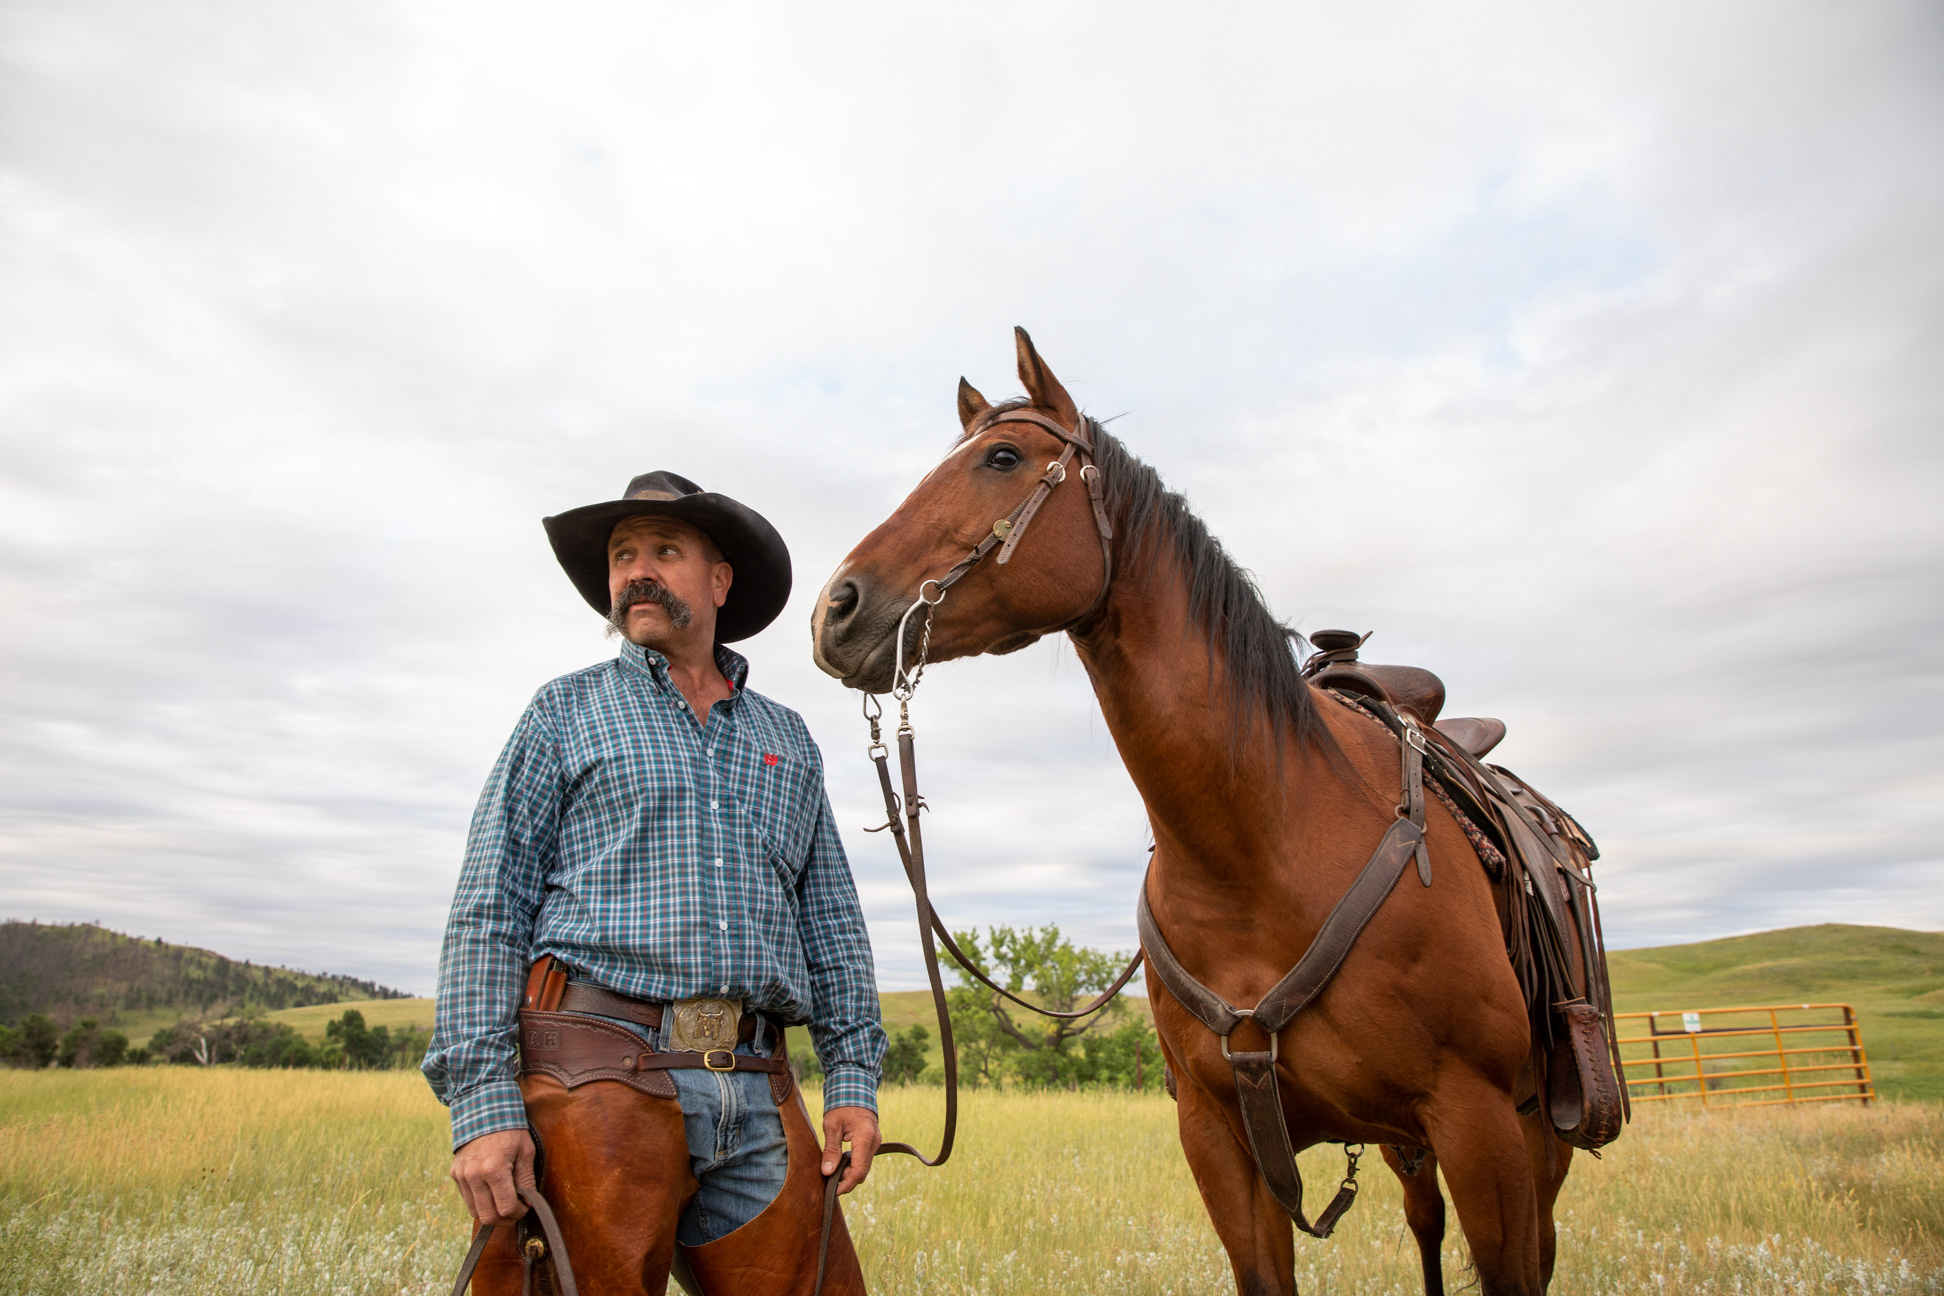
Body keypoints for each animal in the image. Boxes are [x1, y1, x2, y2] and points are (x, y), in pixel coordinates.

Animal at [811, 329, 1582, 1296]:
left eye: (1003, 458)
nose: (833, 610)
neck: (1258, 846)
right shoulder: (1219, 1143)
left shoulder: (1480, 1126)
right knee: (1423, 1223)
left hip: (1536, 1137)